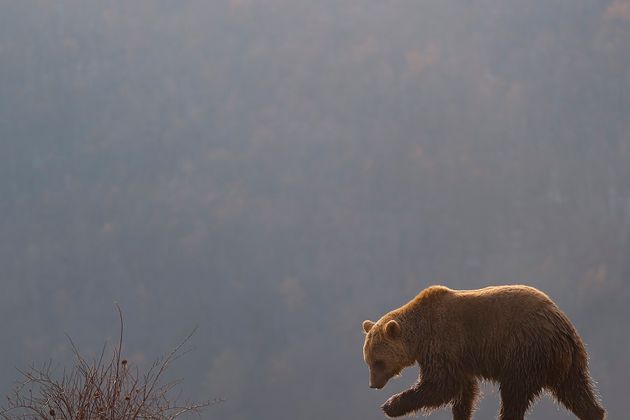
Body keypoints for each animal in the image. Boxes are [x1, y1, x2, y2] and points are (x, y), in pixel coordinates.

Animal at [366, 284, 608, 418]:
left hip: (524, 350)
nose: (373, 384)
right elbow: (464, 391)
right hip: (567, 362)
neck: (421, 334)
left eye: (378, 361)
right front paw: (461, 413)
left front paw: (390, 405)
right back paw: (594, 413)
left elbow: (441, 386)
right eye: (367, 361)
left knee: (514, 393)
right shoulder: (459, 357)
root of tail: (561, 324)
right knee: (575, 391)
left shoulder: (444, 342)